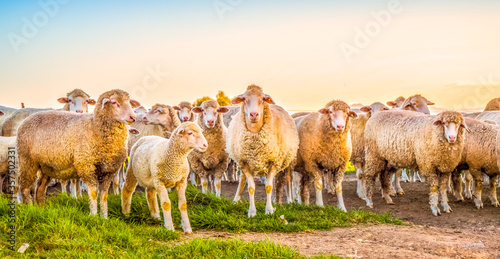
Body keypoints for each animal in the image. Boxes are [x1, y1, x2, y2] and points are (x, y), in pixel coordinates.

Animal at [16, 88, 140, 218]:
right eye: (114, 102)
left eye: (129, 102)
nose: (133, 117)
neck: (94, 127)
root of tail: (26, 120)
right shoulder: (87, 167)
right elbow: (93, 193)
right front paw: (94, 216)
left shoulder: (109, 171)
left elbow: (104, 196)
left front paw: (104, 217)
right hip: (27, 160)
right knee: (24, 187)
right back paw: (30, 208)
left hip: (46, 166)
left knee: (40, 188)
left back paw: (41, 210)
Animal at [229, 85, 298, 217]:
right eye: (244, 99)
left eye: (263, 99)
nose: (254, 114)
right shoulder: (245, 162)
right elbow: (251, 187)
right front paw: (252, 211)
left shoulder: (273, 162)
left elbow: (269, 187)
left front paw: (269, 210)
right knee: (242, 179)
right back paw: (236, 199)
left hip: (288, 159)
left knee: (288, 179)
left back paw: (290, 201)